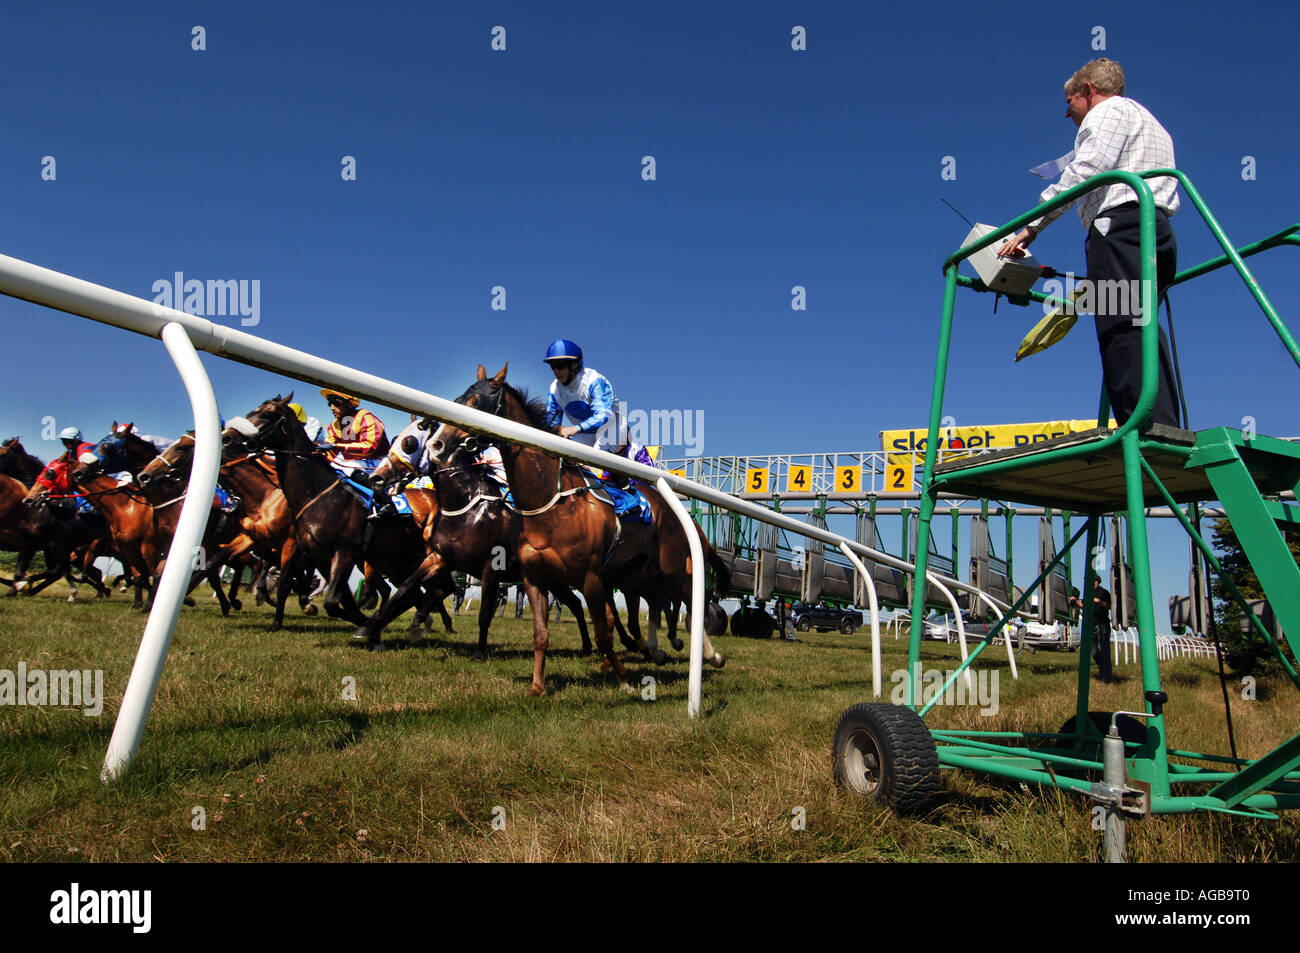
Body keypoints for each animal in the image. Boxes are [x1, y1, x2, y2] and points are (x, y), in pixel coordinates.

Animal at [428, 361, 728, 691]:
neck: (550, 500)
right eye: (458, 399)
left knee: (690, 596)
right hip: (637, 572)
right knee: (658, 601)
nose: (436, 444)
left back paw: (710, 655)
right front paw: (538, 686)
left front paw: (623, 679)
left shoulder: (591, 578)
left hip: (671, 565)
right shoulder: (536, 577)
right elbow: (542, 634)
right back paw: (660, 648)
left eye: (477, 401)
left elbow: (603, 631)